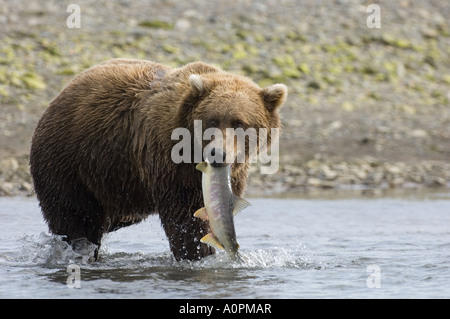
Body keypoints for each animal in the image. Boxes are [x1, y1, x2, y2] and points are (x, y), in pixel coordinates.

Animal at [29, 58, 286, 262]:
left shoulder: (234, 174)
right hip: (70, 162)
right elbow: (186, 220)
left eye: (240, 122)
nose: (217, 153)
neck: (191, 151)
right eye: (212, 120)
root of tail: (59, 95)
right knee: (76, 219)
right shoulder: (168, 161)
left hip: (114, 183)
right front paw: (197, 255)